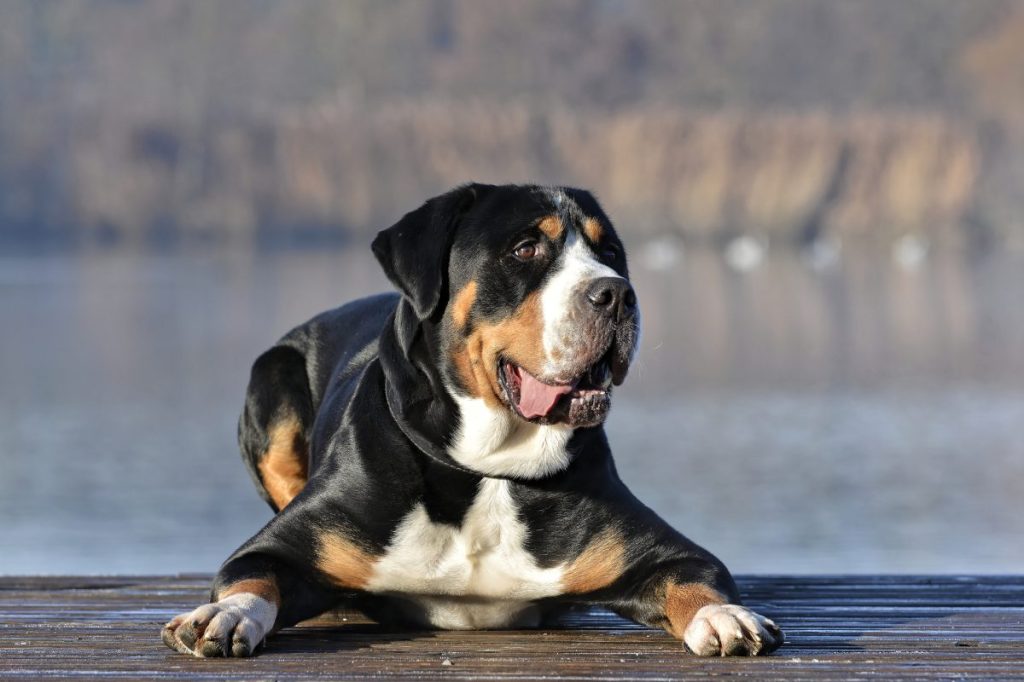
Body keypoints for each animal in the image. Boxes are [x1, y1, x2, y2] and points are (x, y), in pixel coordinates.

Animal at [159, 183, 782, 655]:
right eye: (526, 249)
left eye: (611, 254)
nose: (616, 294)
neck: (488, 467)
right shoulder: (279, 547)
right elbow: (251, 577)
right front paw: (223, 616)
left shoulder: (665, 553)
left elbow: (697, 580)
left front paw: (725, 617)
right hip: (273, 377)